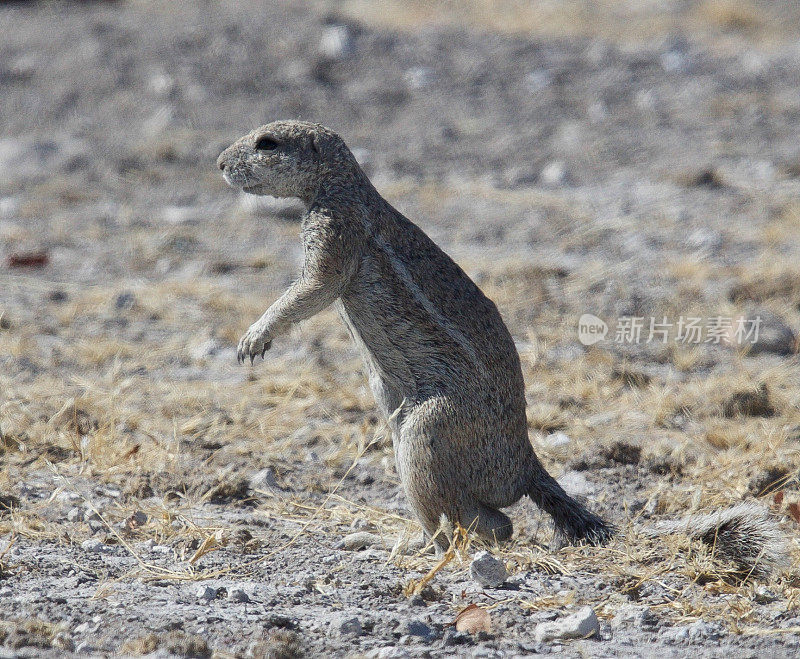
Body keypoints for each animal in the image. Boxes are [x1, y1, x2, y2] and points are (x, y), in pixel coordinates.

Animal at [216, 120, 608, 552]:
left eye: (267, 143)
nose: (219, 164)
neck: (340, 186)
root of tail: (525, 466)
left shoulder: (334, 229)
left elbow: (315, 286)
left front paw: (253, 339)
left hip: (428, 432)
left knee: (478, 519)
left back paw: (424, 547)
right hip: (399, 429)